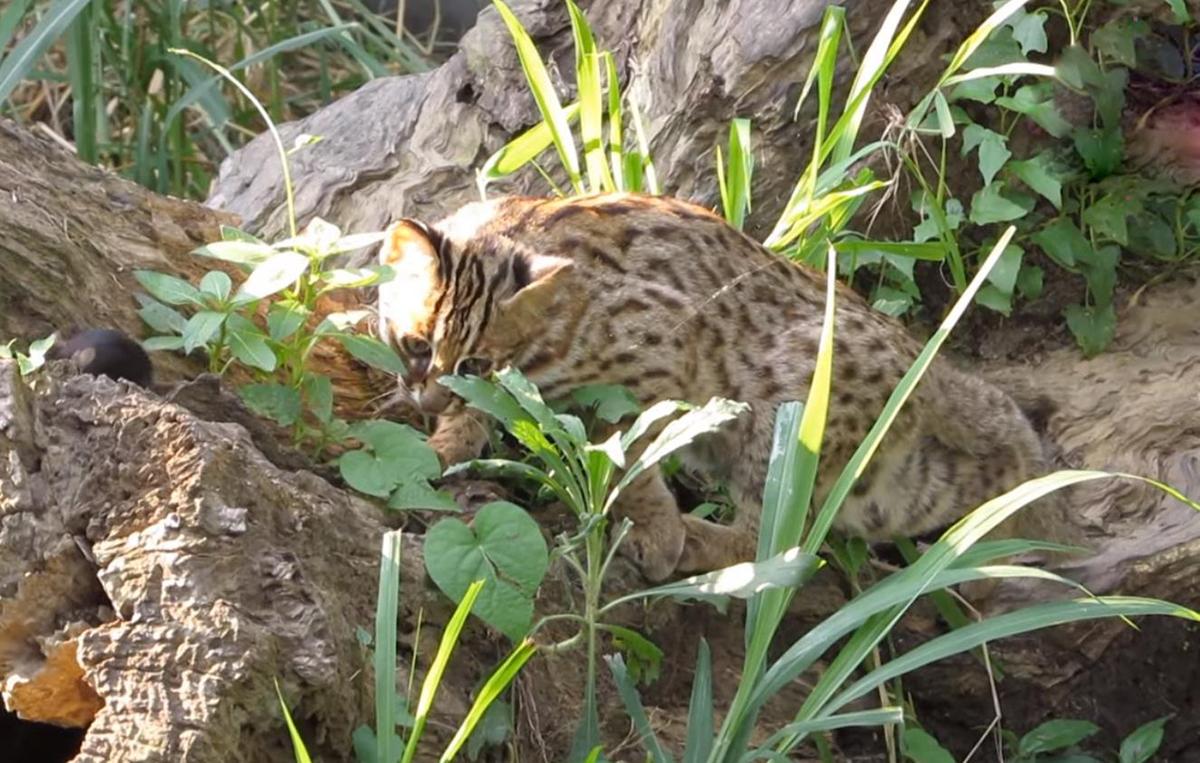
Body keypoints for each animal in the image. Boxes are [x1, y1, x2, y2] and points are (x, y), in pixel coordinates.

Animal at [376, 193, 1060, 580]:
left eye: (473, 364)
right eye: (416, 345)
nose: (426, 398)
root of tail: (924, 361)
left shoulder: (660, 360)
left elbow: (634, 458)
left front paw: (655, 529)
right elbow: (476, 420)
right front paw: (439, 449)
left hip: (787, 408)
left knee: (778, 541)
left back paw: (691, 540)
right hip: (886, 486)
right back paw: (1037, 512)